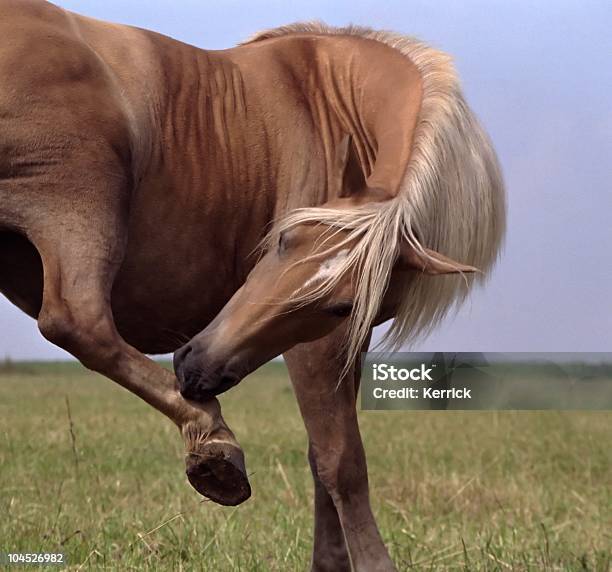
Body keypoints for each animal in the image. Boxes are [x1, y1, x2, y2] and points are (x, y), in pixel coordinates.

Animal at [0, 2, 506, 568]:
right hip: (83, 204)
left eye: (340, 304)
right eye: (283, 237)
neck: (339, 101)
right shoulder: (319, 348)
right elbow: (341, 461)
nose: (193, 366)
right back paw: (215, 446)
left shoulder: (348, 337)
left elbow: (320, 457)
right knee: (78, 322)